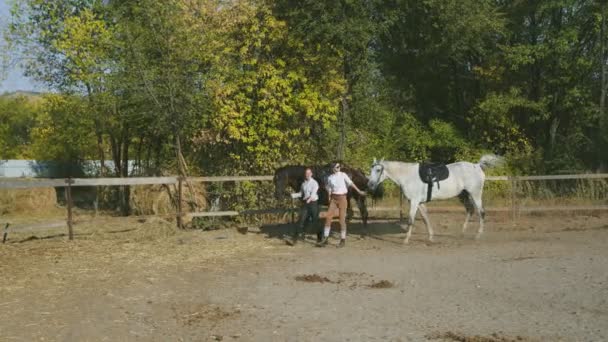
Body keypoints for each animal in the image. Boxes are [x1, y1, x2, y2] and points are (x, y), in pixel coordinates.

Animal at [368, 155, 502, 243]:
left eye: (378, 170)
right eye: (371, 169)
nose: (370, 185)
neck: (408, 176)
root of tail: (477, 166)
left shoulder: (414, 202)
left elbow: (411, 220)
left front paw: (406, 240)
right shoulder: (419, 203)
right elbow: (425, 218)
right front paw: (431, 237)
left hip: (475, 194)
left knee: (481, 212)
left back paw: (478, 235)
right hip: (463, 195)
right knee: (470, 210)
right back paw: (462, 233)